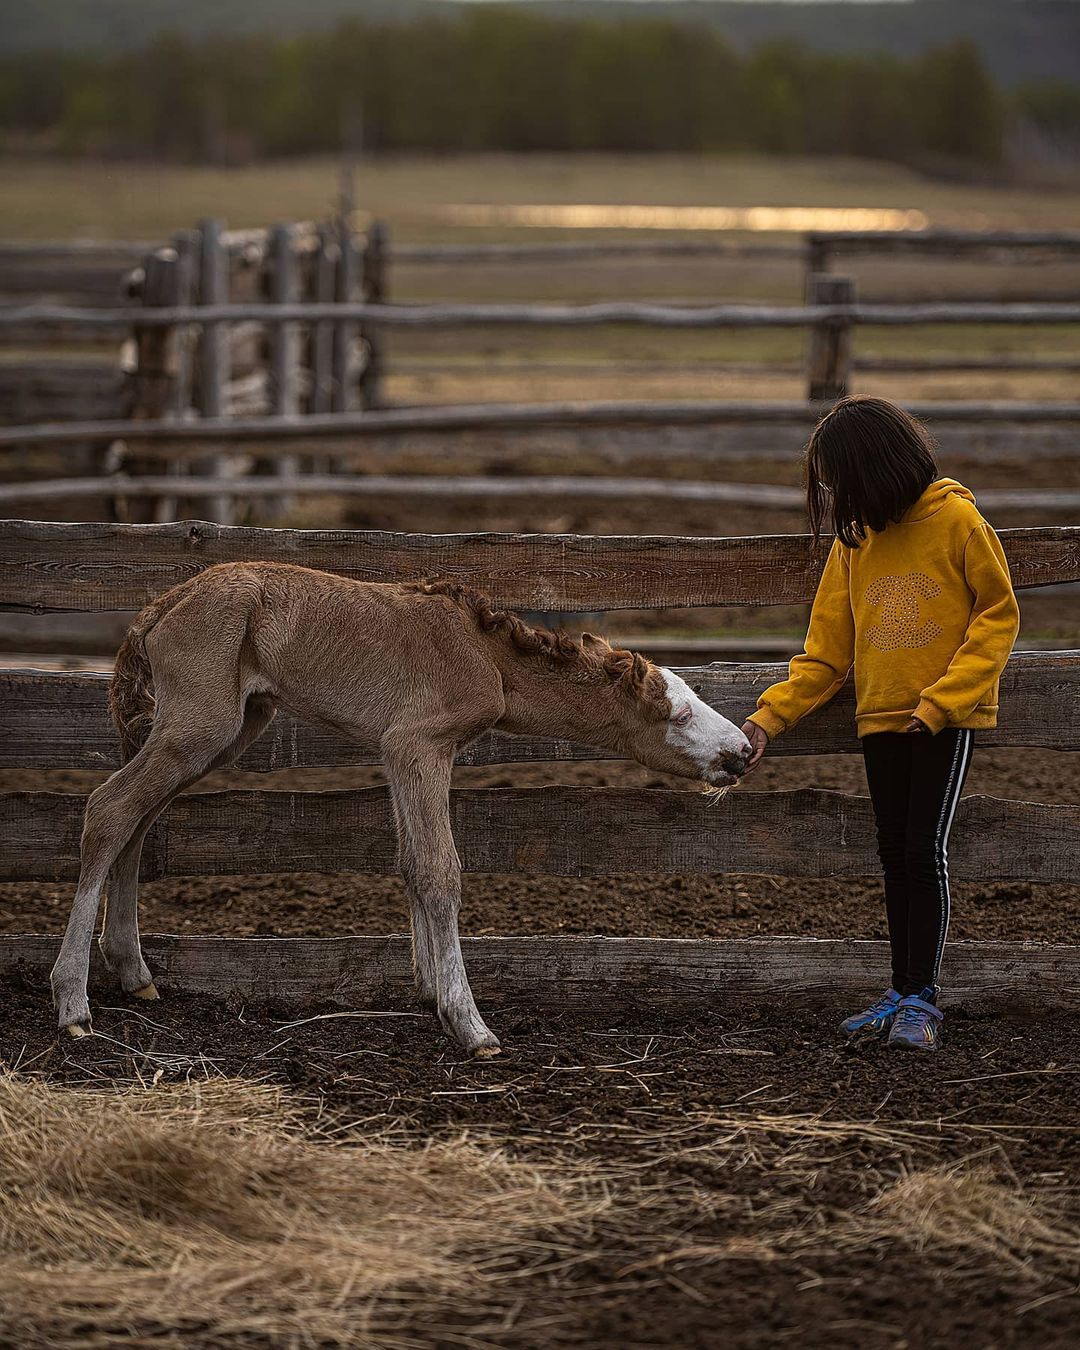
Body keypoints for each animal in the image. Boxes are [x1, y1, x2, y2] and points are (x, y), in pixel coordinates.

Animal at [50, 558, 750, 1053]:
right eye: (679, 716)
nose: (743, 751)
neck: (484, 656)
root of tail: (162, 605)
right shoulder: (418, 742)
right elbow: (440, 869)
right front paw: (469, 1025)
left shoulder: (401, 753)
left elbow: (413, 863)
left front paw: (431, 992)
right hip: (199, 725)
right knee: (109, 809)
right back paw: (73, 1004)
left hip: (225, 730)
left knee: (138, 819)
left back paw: (134, 972)